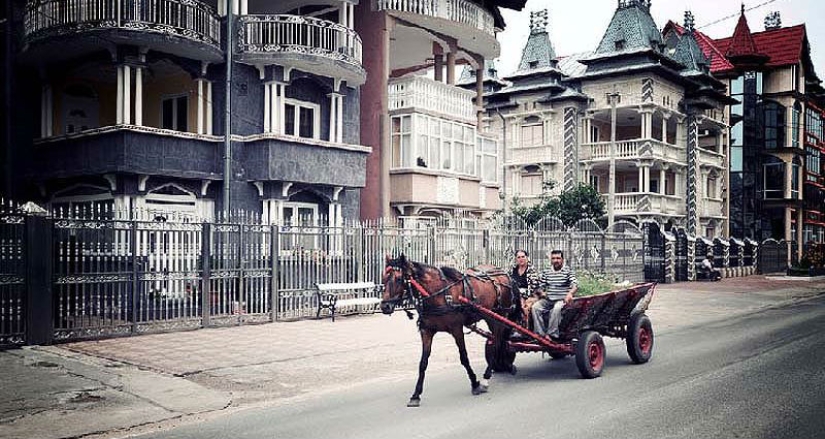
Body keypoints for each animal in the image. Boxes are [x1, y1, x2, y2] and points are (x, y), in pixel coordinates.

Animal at [380, 254, 520, 410]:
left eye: (399, 279)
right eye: (384, 278)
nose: (385, 306)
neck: (439, 293)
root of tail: (504, 273)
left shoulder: (456, 329)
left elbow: (464, 357)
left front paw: (475, 383)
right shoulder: (427, 331)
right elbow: (423, 363)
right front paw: (416, 395)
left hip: (497, 315)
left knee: (497, 341)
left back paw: (486, 377)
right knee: (500, 339)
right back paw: (505, 365)